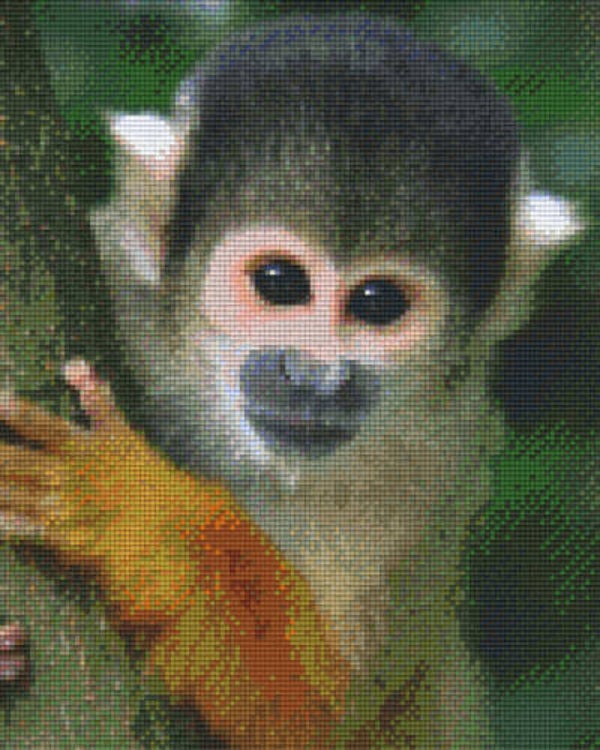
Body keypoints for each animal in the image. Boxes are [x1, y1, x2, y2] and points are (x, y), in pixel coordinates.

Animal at [0, 12, 582, 749]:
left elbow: (310, 714)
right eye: (279, 283)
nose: (315, 376)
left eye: (378, 304)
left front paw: (131, 502)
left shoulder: (436, 464)